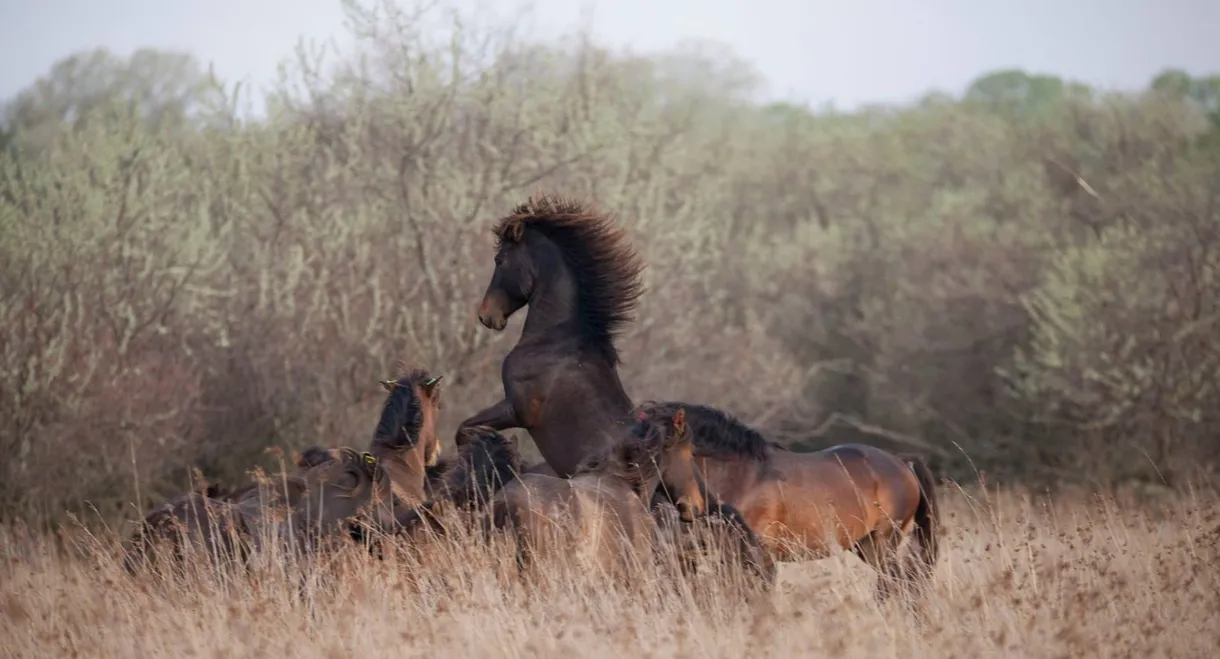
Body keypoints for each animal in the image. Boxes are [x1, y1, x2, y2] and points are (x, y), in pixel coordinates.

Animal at [634, 397, 936, 600]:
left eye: (654, 446)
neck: (743, 476)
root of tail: (902, 463)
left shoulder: (756, 558)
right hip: (864, 546)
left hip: (882, 544)